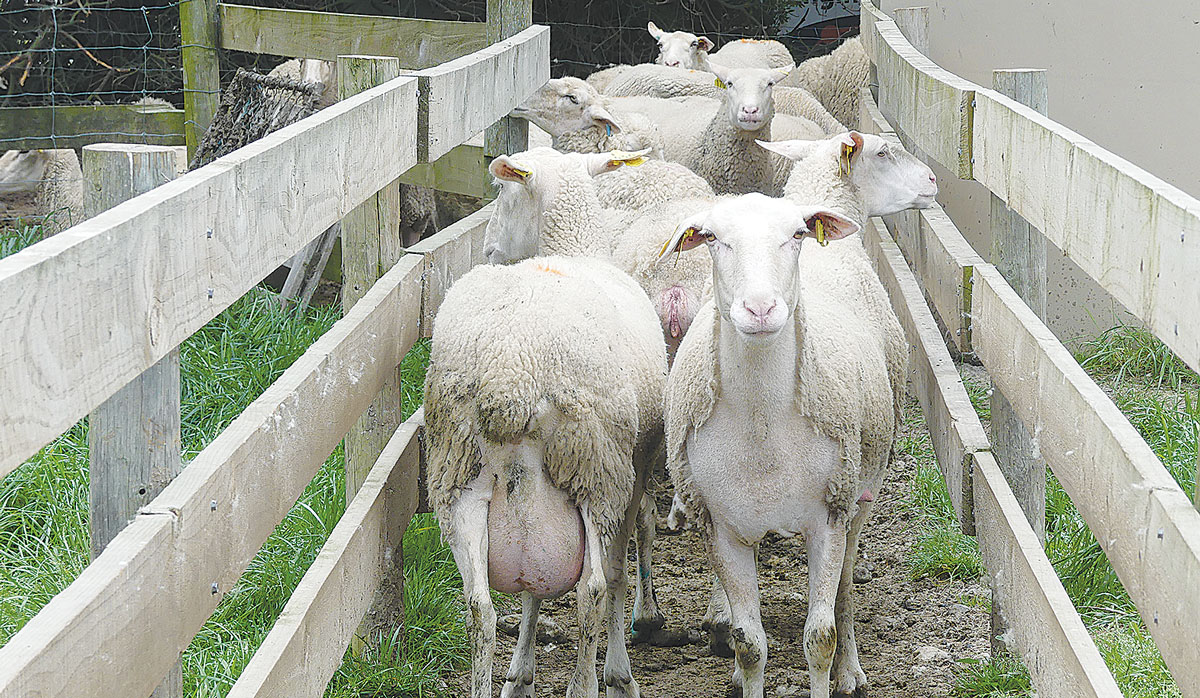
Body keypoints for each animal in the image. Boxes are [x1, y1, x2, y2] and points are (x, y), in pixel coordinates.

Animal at [424, 253, 672, 698]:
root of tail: (512, 374)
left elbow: (530, 593)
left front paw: (520, 674)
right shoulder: (631, 477)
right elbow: (616, 575)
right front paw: (619, 674)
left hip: (458, 481)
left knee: (479, 607)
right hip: (596, 475)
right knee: (592, 592)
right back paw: (584, 685)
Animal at [657, 193, 902, 698]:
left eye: (796, 234)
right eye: (712, 237)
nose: (760, 308)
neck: (763, 429)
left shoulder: (828, 516)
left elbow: (821, 637)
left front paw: (834, 666)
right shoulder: (721, 526)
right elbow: (748, 642)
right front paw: (741, 665)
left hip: (860, 494)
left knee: (845, 587)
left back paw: (851, 672)